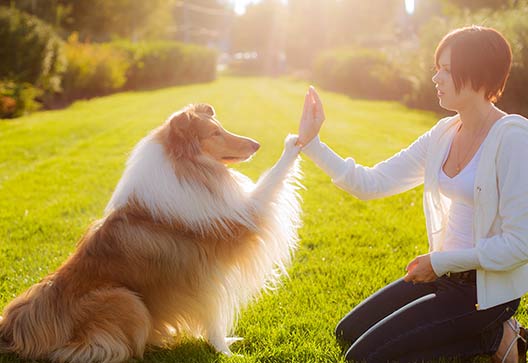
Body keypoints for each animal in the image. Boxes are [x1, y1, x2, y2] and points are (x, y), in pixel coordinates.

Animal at [0, 104, 302, 362]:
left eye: (220, 127)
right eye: (214, 133)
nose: (257, 145)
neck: (187, 169)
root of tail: (13, 329)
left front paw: (225, 345)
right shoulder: (236, 230)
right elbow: (271, 180)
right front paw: (226, 353)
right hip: (125, 299)